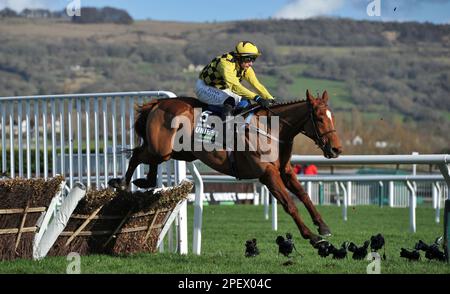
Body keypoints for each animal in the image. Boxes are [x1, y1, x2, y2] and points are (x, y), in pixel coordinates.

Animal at [108, 89, 342, 246]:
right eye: (319, 118)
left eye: (332, 117)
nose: (336, 149)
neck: (272, 130)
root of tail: (158, 103)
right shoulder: (267, 174)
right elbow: (289, 204)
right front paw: (312, 236)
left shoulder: (284, 170)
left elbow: (304, 195)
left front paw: (323, 226)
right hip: (162, 148)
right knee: (137, 155)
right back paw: (121, 182)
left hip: (178, 151)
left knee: (147, 157)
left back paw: (145, 180)